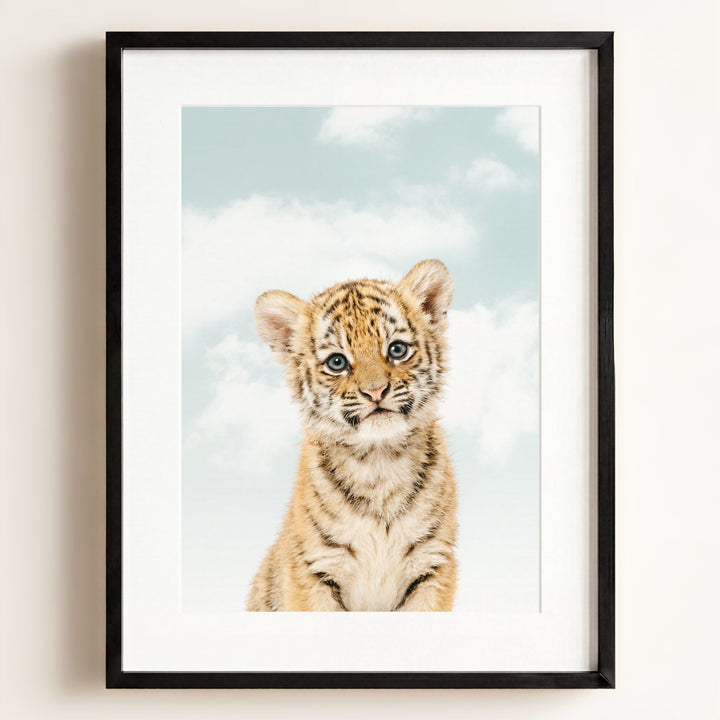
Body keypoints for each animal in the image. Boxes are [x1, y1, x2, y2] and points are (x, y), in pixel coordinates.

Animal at [246, 259, 457, 611]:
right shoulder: (313, 569)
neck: (379, 461)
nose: (375, 391)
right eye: (337, 362)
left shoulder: (433, 564)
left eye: (397, 349)